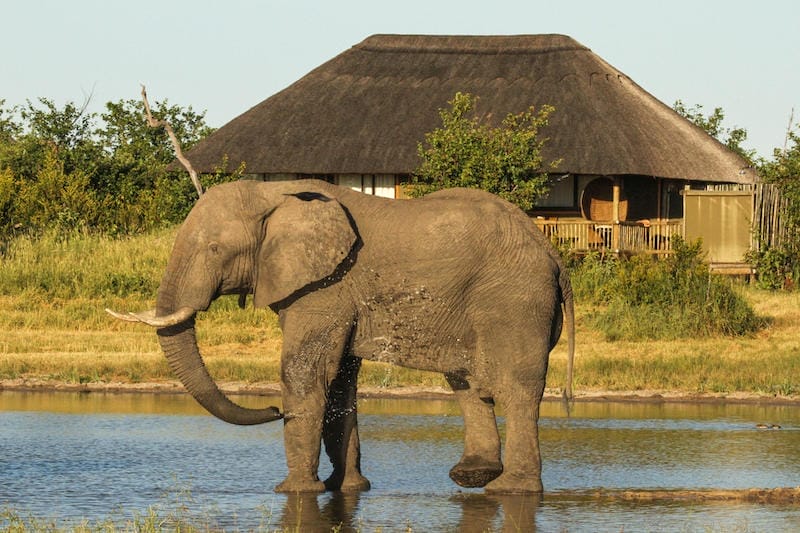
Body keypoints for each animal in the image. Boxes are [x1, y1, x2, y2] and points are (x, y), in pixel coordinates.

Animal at [108, 180, 576, 494]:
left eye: (214, 250)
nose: (274, 410)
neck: (272, 192)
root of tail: (552, 252)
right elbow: (339, 381)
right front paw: (346, 488)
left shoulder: (325, 287)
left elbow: (306, 371)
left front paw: (294, 491)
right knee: (468, 382)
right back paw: (472, 476)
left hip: (514, 299)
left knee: (514, 386)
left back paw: (510, 489)